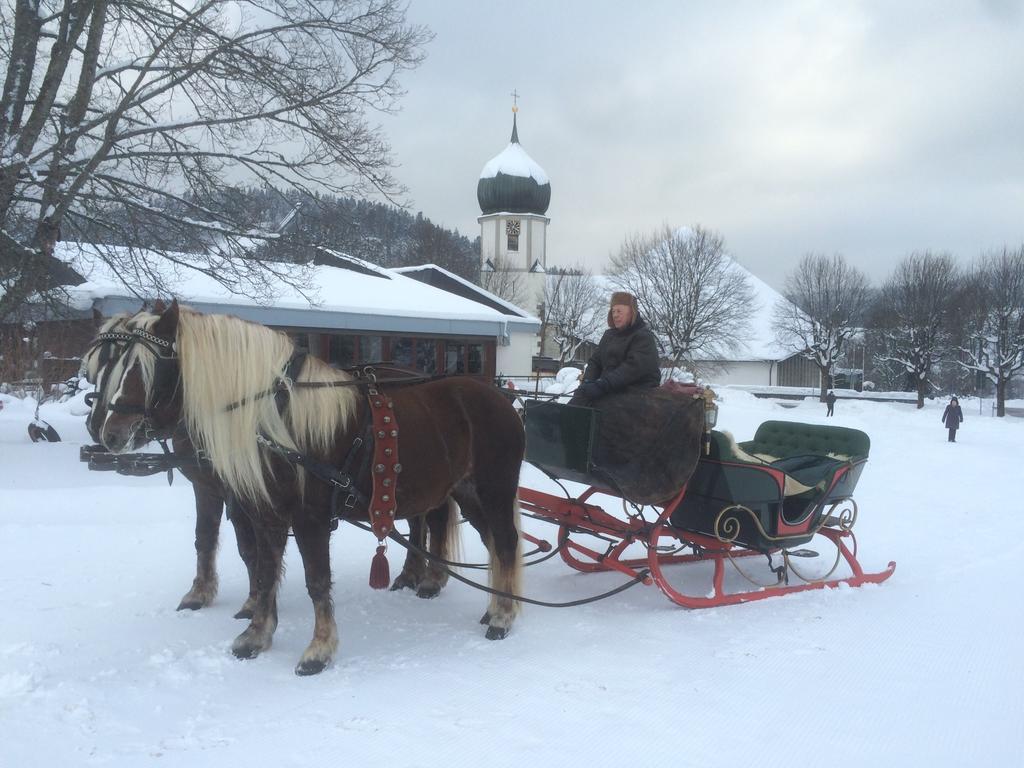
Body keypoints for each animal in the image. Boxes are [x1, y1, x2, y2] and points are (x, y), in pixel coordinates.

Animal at [95, 303, 524, 675]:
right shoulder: (265, 514)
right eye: (112, 364)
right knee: (487, 541)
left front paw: (318, 650)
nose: (109, 433)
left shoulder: (309, 518)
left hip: (494, 490)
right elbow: (264, 570)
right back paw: (493, 605)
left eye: (147, 368)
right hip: (467, 492)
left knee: (504, 543)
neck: (275, 418)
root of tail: (499, 396)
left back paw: (502, 617)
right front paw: (257, 635)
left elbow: (316, 582)